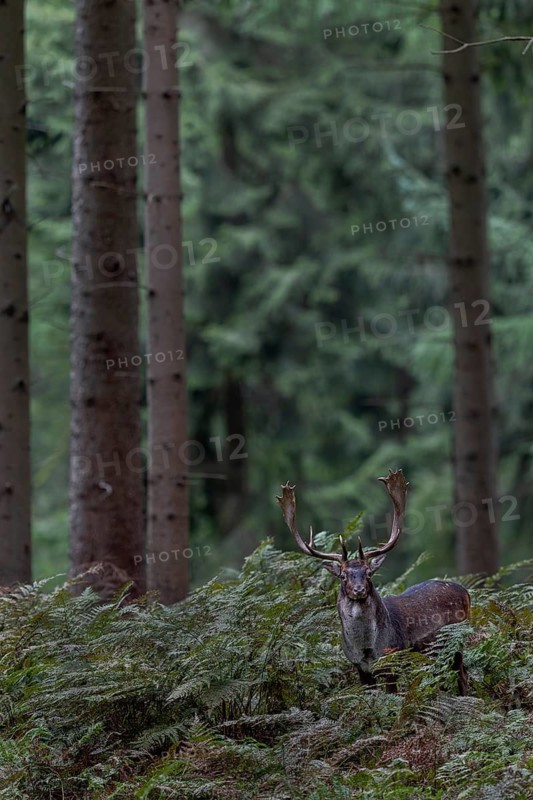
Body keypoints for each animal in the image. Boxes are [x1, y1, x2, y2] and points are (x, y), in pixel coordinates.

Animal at [276, 468, 470, 694]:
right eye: (343, 575)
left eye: (369, 573)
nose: (359, 590)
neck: (367, 650)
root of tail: (465, 591)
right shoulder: (360, 668)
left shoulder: (392, 660)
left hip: (457, 641)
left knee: (462, 675)